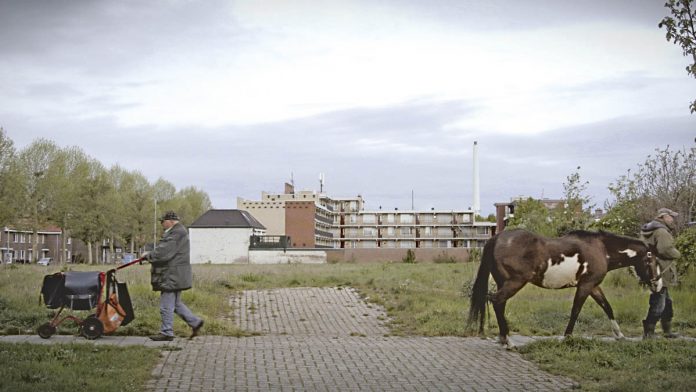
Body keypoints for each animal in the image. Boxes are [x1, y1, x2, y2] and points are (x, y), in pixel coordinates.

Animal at [468, 228, 656, 348]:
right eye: (652, 260)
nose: (656, 282)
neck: (601, 248)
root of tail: (496, 238)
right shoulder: (586, 286)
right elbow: (576, 311)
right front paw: (567, 337)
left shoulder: (593, 286)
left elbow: (607, 307)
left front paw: (620, 335)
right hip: (515, 283)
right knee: (497, 301)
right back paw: (507, 340)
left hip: (504, 283)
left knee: (499, 304)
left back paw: (503, 338)